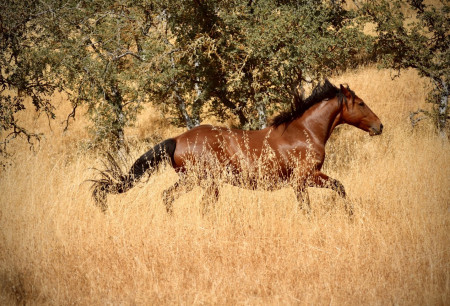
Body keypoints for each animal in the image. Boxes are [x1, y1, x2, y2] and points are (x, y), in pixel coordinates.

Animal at [92, 80, 384, 214]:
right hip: (204, 181)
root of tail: (177, 139)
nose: (379, 126)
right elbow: (322, 197)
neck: (305, 131)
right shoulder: (303, 178)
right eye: (360, 103)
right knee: (198, 205)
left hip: (194, 180)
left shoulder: (307, 179)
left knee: (169, 196)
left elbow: (336, 188)